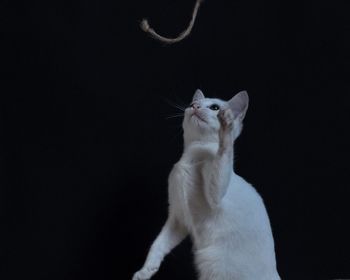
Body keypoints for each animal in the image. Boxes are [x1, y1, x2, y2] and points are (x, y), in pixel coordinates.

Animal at [133, 89, 280, 280]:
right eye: (191, 104)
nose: (195, 106)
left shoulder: (215, 198)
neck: (191, 154)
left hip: (212, 263)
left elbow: (224, 153)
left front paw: (226, 129)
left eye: (215, 107)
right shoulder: (178, 217)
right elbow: (158, 244)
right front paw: (145, 271)